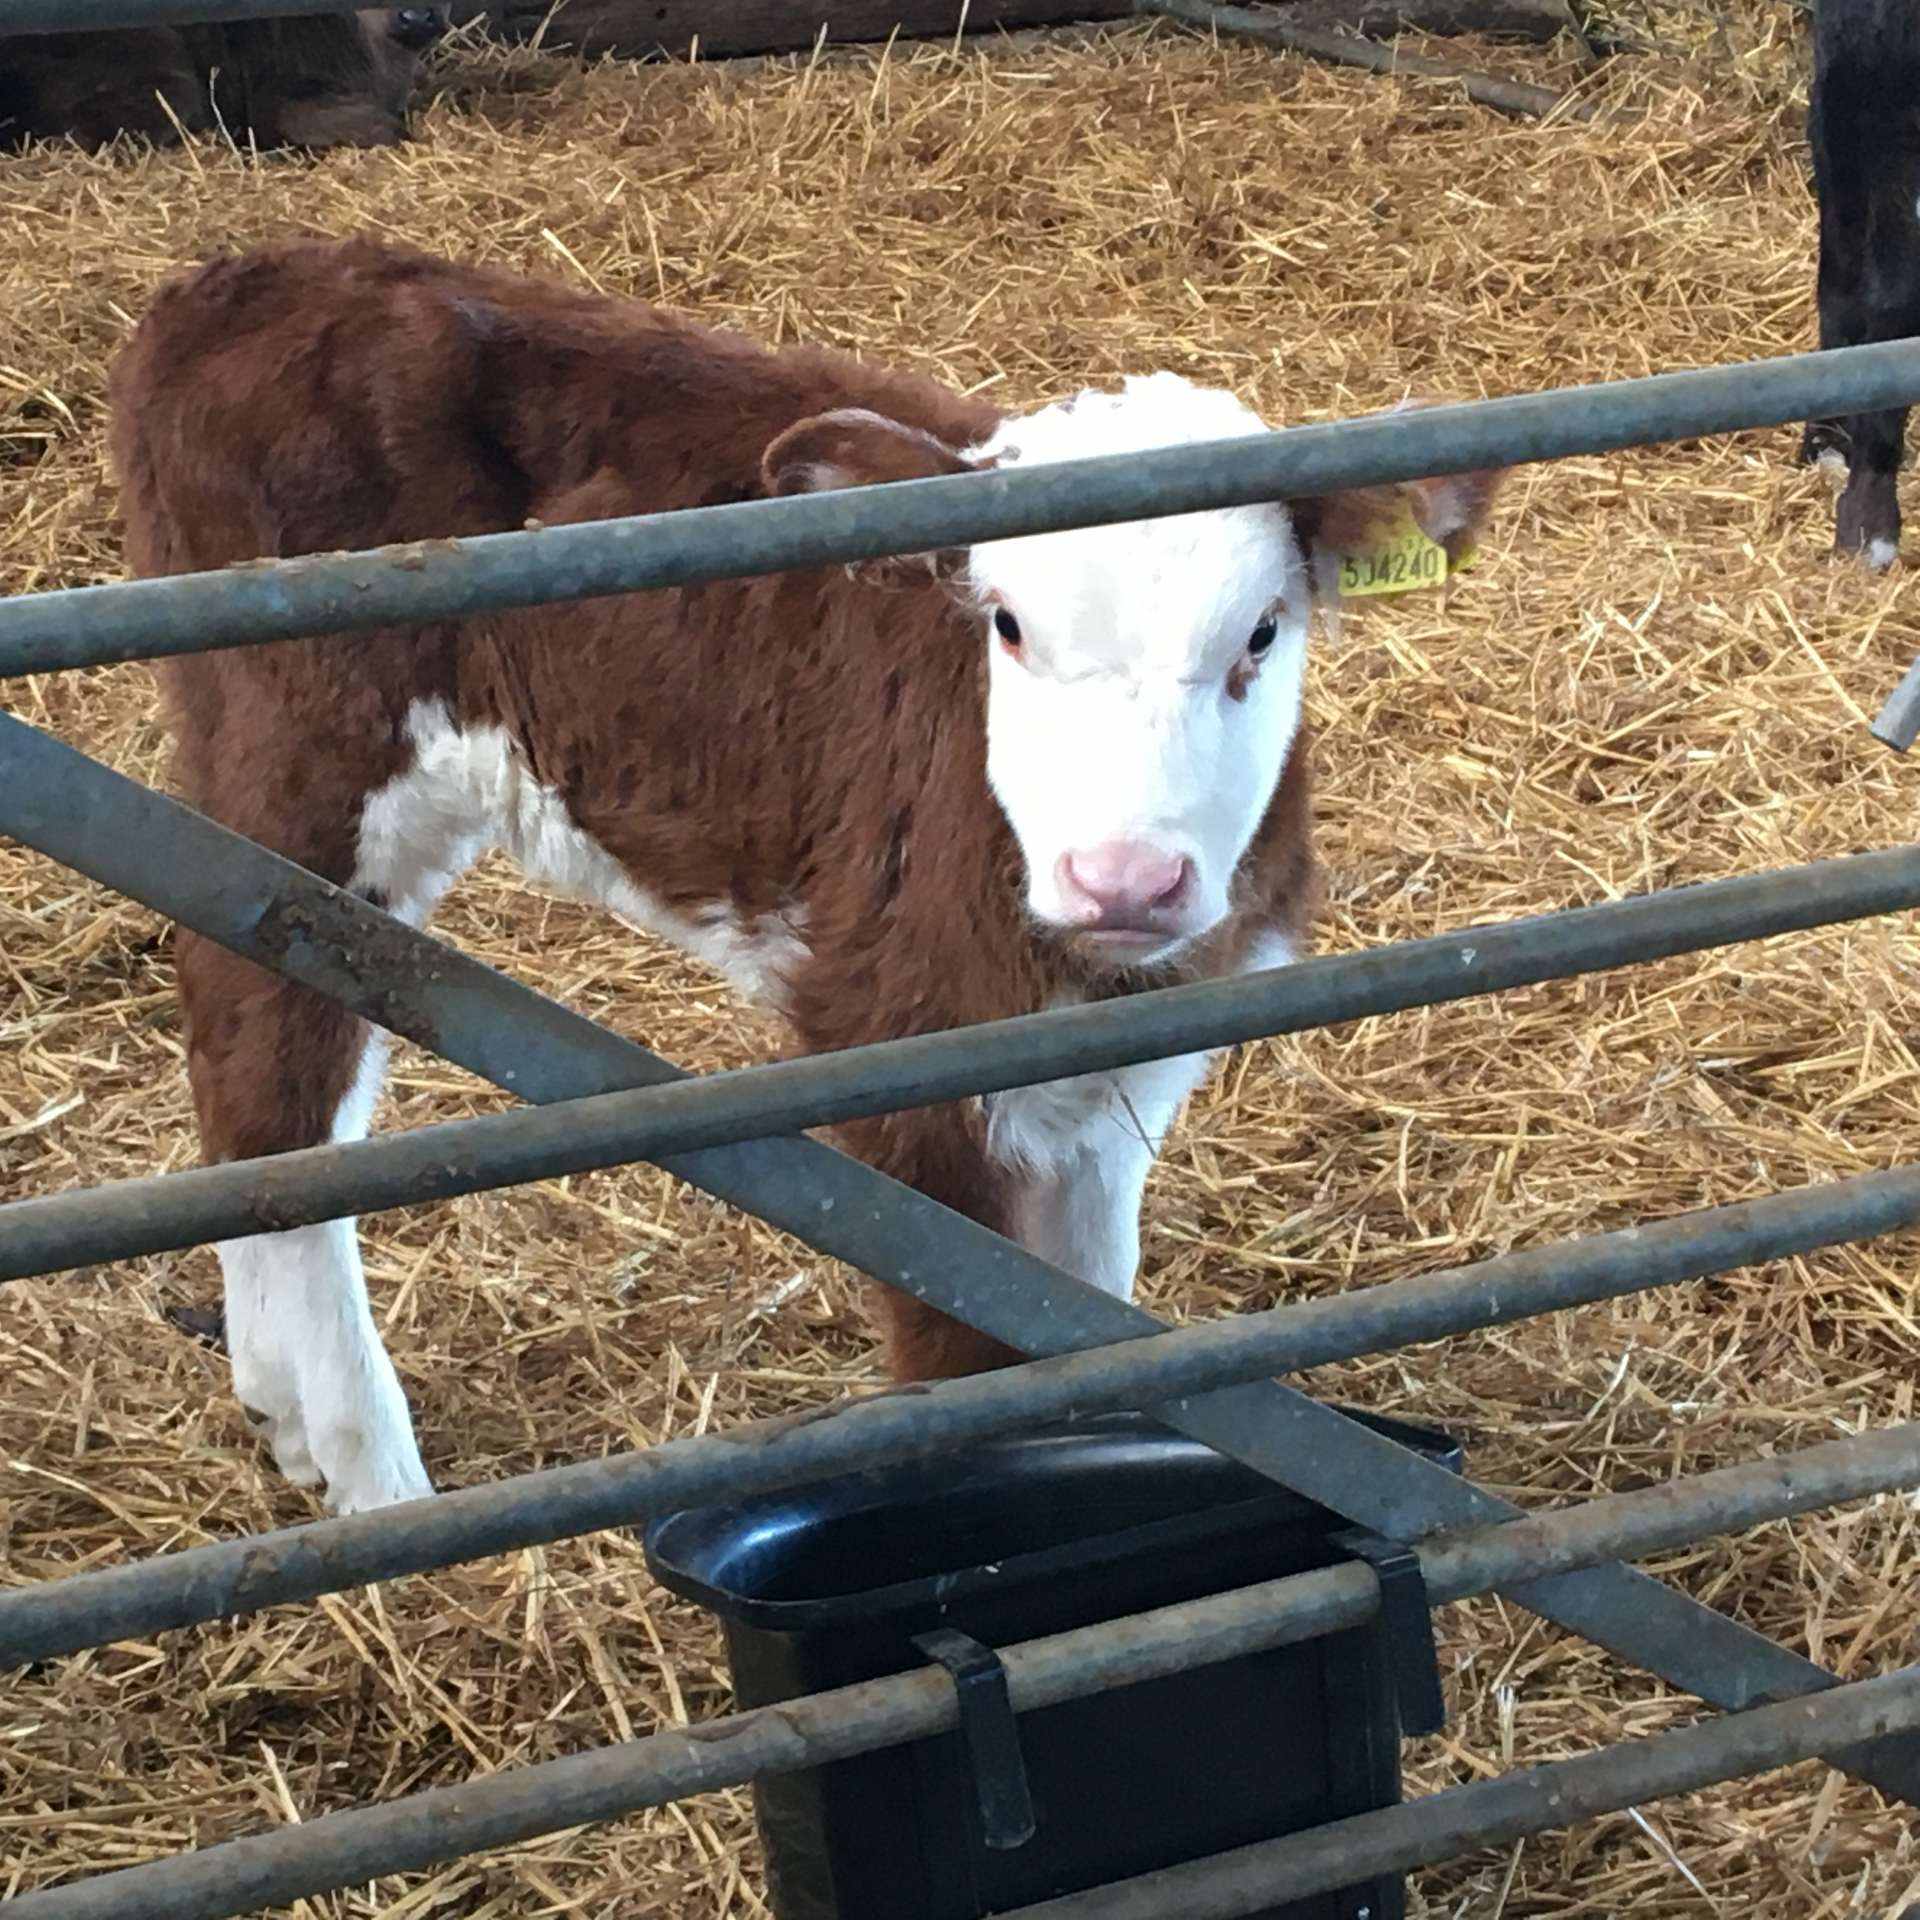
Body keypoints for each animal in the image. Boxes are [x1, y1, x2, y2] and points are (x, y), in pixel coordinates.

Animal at [109, 238, 1506, 1515]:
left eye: (1261, 634)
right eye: (1006, 626)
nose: (1123, 881)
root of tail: (241, 276)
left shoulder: (1136, 1069)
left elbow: (1090, 1314)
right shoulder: (903, 1051)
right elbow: (974, 1368)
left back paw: (281, 1406)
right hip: (304, 764)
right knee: (274, 1065)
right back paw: (369, 1470)